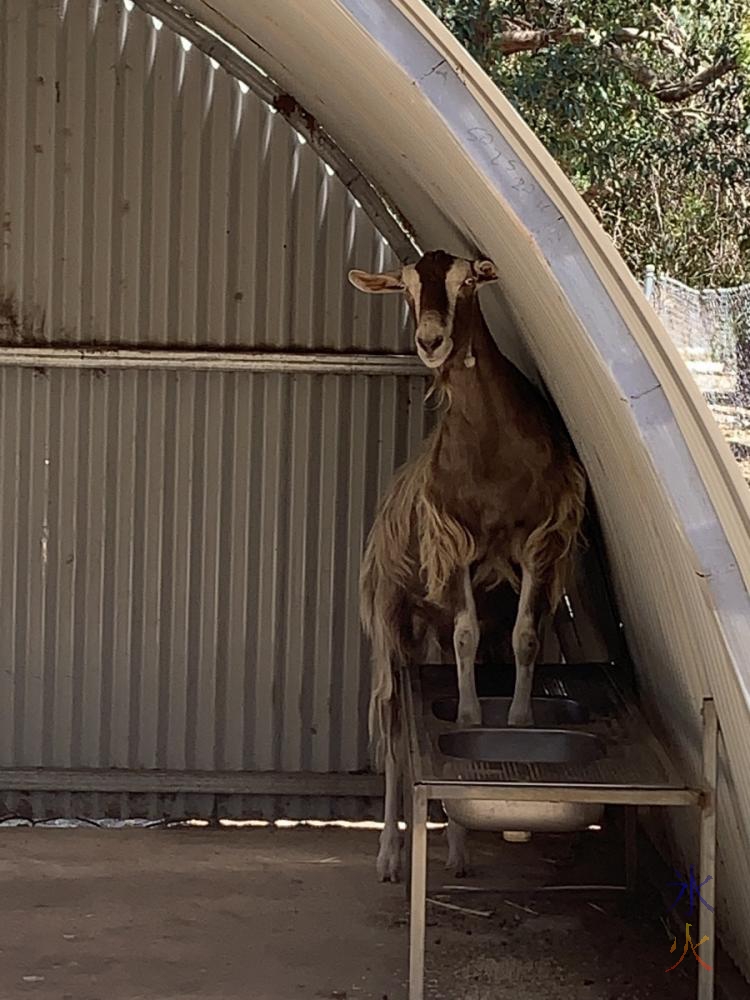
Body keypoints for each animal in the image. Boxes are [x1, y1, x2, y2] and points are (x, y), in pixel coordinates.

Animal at [350, 252, 592, 884]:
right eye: (405, 288)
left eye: (467, 283)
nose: (430, 341)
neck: (492, 451)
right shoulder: (455, 539)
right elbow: (466, 635)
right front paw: (465, 713)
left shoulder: (537, 541)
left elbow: (524, 637)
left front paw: (519, 720)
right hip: (394, 619)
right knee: (395, 730)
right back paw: (388, 855)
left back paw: (457, 850)